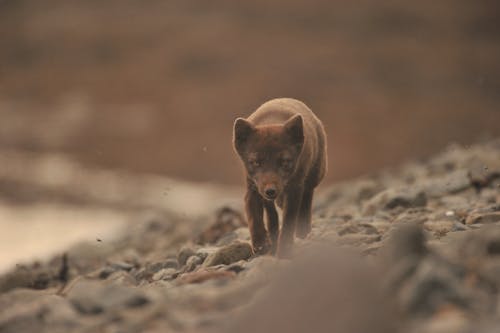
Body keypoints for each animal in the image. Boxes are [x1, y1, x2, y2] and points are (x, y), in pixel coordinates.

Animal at [233, 97, 328, 255]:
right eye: (256, 162)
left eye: (284, 162)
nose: (270, 191)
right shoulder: (252, 188)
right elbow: (254, 217)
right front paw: (260, 244)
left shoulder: (295, 189)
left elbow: (289, 222)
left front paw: (284, 250)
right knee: (272, 214)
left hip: (316, 175)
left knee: (307, 197)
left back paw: (303, 231)